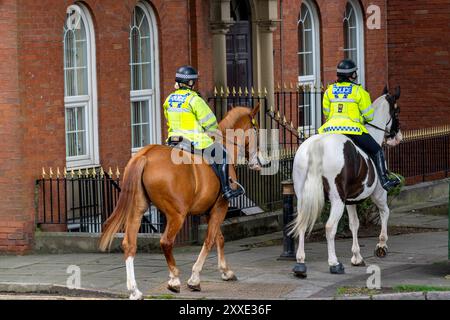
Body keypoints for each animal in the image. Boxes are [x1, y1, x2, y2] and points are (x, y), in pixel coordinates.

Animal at [99, 105, 264, 300]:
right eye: (256, 129)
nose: (260, 161)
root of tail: (145, 155)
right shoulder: (220, 207)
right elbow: (209, 240)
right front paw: (195, 279)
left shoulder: (211, 209)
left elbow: (219, 238)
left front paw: (225, 271)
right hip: (177, 215)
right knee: (166, 242)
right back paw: (174, 280)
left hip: (137, 210)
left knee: (129, 244)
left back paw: (134, 290)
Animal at [292, 86, 400, 276]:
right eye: (397, 110)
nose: (397, 137)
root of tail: (317, 145)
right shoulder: (378, 193)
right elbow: (385, 212)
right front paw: (381, 245)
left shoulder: (351, 200)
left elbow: (354, 224)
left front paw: (357, 256)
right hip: (337, 200)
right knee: (329, 227)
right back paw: (334, 263)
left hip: (304, 198)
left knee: (302, 224)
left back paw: (300, 263)